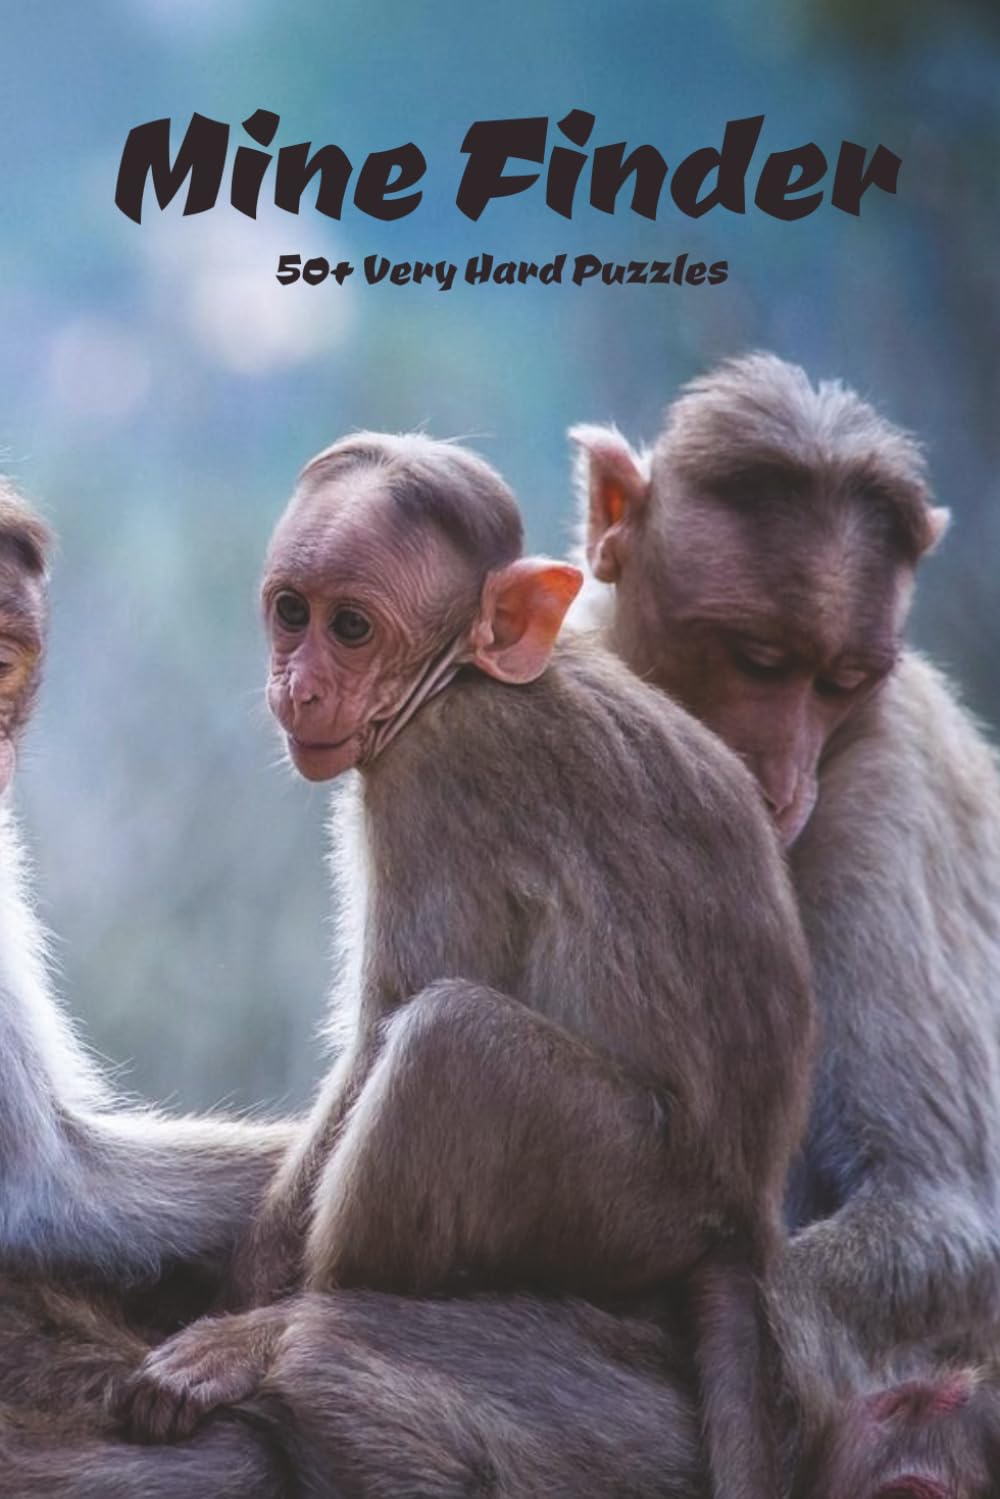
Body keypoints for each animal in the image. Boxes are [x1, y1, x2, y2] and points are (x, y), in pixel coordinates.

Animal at [120, 432, 816, 1499]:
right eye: (292, 612)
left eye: (352, 627)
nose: (298, 686)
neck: (464, 679)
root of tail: (742, 1214)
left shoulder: (433, 775)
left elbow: (387, 1020)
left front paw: (244, 1299)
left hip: (629, 1192)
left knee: (452, 1042)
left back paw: (278, 1332)